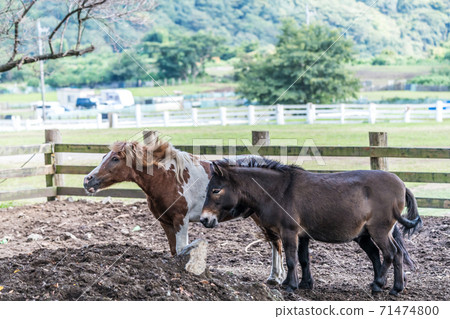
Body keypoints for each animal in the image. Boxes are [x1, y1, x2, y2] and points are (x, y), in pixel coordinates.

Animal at [82, 139, 284, 284]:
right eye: (103, 157)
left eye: (115, 159)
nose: (87, 180)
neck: (168, 177)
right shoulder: (165, 222)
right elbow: (174, 251)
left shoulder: (180, 220)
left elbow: (181, 249)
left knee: (277, 242)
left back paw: (277, 278)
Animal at [200, 159, 422, 296]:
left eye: (216, 190)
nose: (204, 219)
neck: (278, 191)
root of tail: (402, 184)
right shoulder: (303, 235)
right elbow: (304, 259)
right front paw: (305, 284)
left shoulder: (289, 232)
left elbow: (291, 259)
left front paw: (291, 286)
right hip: (372, 233)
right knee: (396, 254)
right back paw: (396, 287)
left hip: (379, 230)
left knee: (390, 253)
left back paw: (379, 285)